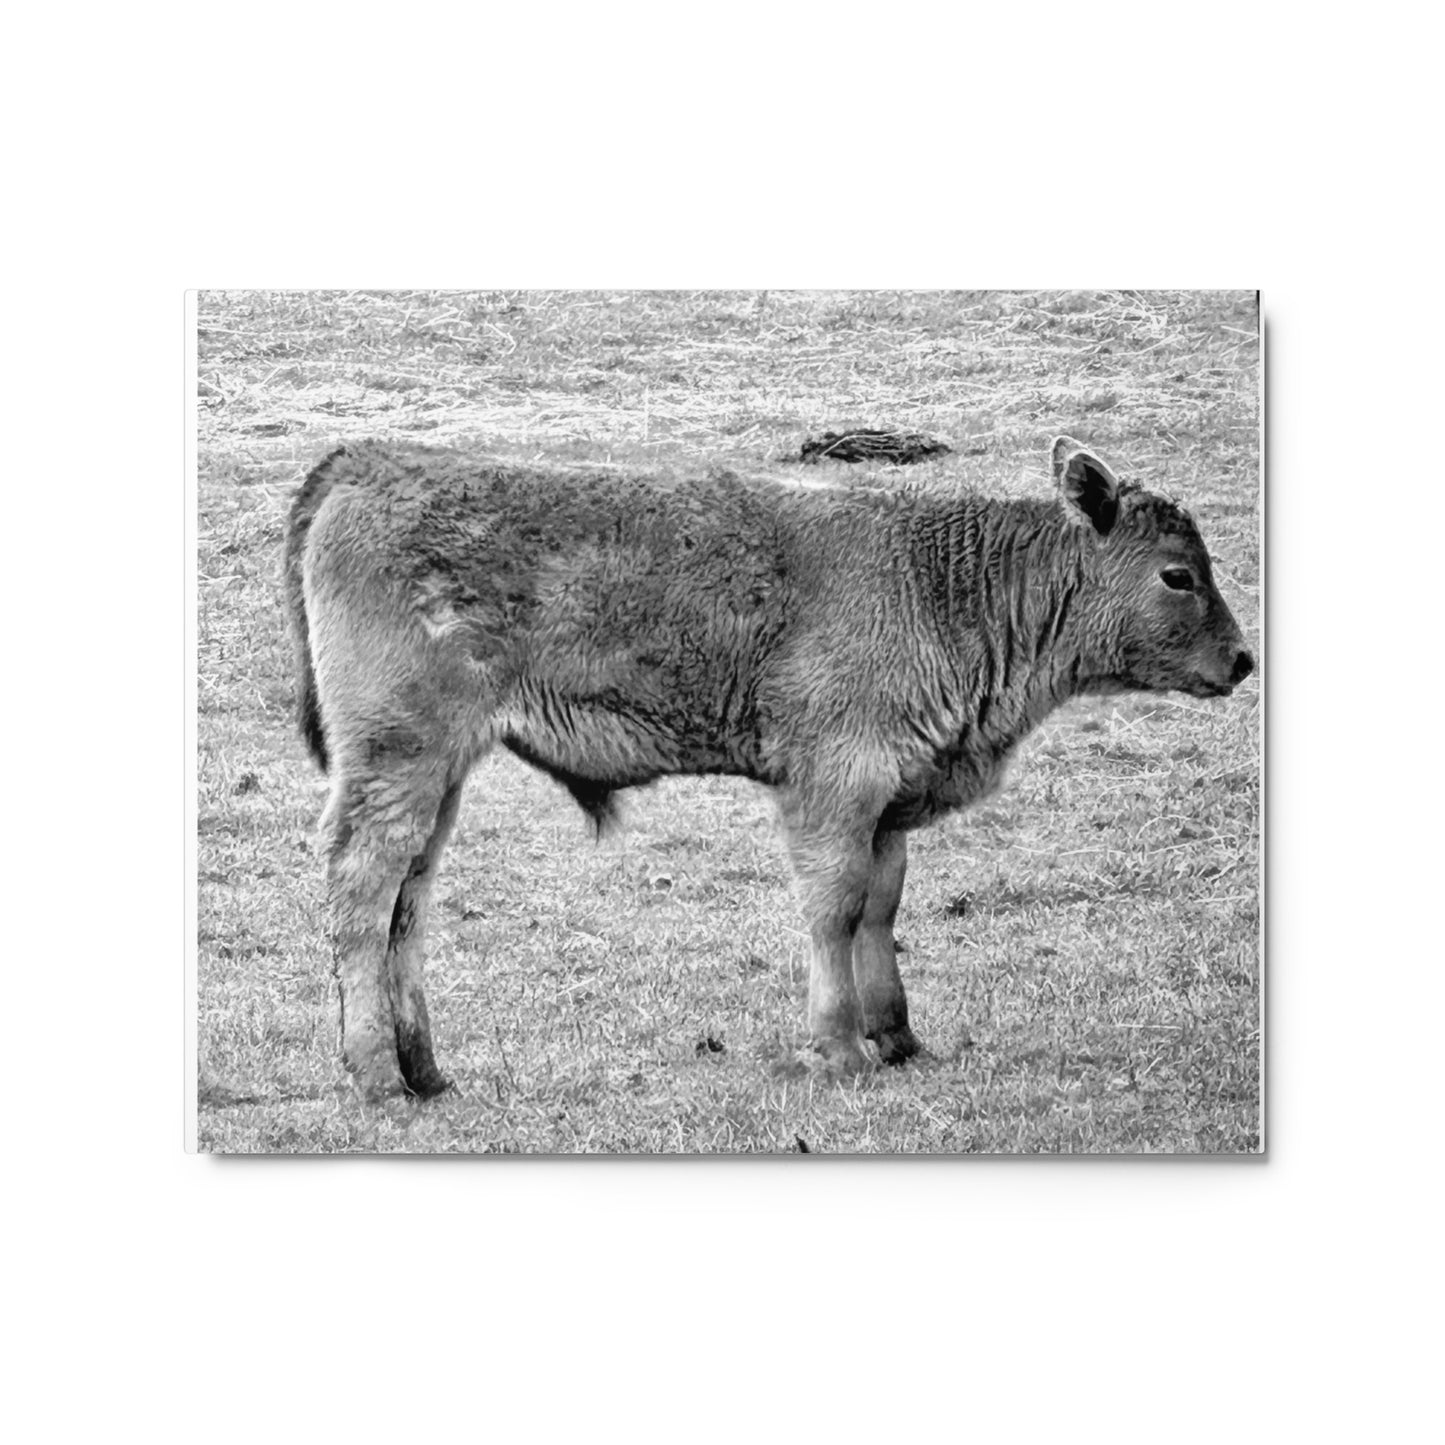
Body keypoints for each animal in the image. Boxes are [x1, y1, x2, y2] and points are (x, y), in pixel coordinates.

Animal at [285, 435, 1255, 1100]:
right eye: (1177, 574)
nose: (1244, 659)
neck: (936, 581)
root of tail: (367, 460)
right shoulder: (833, 786)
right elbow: (833, 909)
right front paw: (838, 1047)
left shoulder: (886, 803)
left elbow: (879, 907)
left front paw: (897, 1037)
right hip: (398, 760)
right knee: (362, 888)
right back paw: (376, 1074)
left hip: (438, 775)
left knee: (407, 901)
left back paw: (425, 1069)